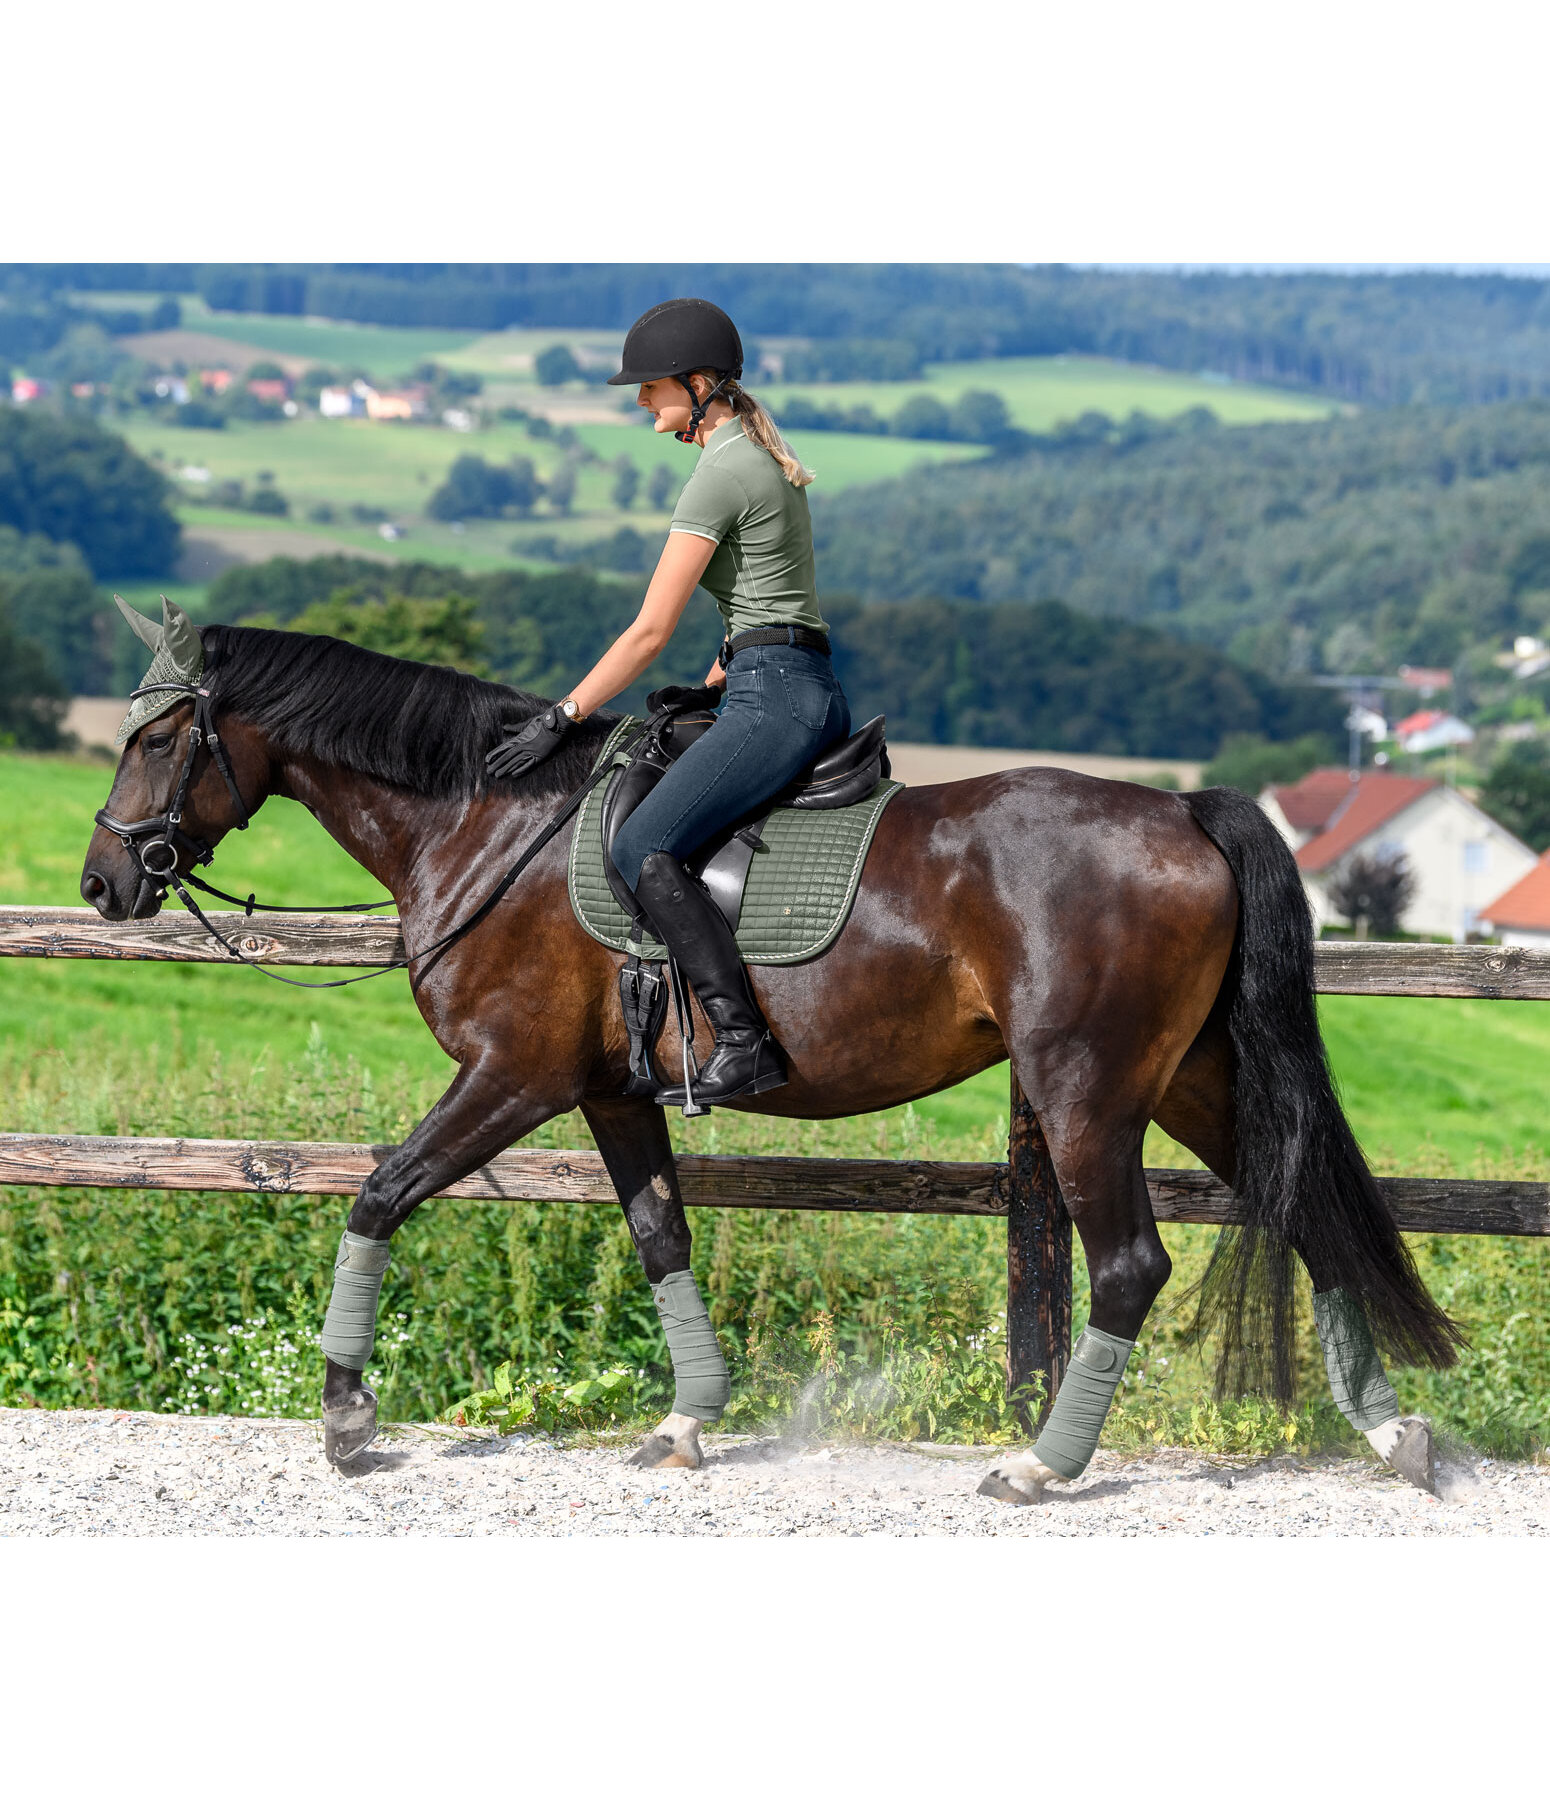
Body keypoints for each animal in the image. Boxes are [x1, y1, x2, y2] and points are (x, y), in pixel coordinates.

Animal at [81, 619, 1461, 1504]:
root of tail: (1179, 810)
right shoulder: (605, 1092)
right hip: (1184, 1078)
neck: (485, 825)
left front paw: (347, 1420)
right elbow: (660, 1237)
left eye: (154, 740)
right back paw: (1391, 1435)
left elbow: (377, 1194)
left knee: (1127, 1265)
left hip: (1085, 1090)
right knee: (1301, 1206)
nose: (102, 885)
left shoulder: (511, 1077)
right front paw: (686, 1423)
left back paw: (1040, 1465)